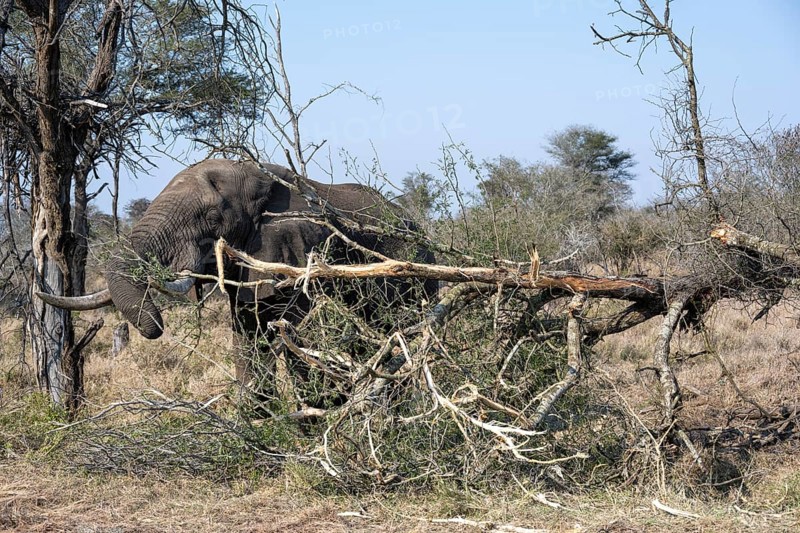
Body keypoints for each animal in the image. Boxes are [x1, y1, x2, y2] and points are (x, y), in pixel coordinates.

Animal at [41, 159, 438, 376]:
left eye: (212, 217)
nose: (154, 326)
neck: (258, 176)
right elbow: (246, 338)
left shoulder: (303, 251)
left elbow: (299, 339)